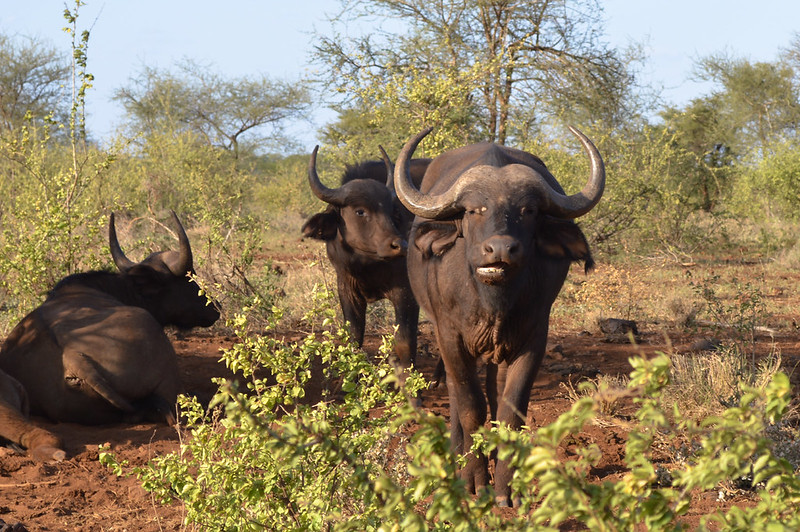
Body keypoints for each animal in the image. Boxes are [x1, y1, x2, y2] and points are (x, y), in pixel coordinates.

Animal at [301, 149, 430, 372]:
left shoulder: (406, 292)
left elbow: (405, 342)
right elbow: (353, 338)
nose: (400, 245)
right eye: (360, 211)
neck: (368, 265)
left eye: (391, 211)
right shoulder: (347, 289)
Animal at [394, 127, 604, 505]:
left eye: (528, 209)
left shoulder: (533, 339)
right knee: (458, 397)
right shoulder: (450, 338)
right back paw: (458, 450)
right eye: (474, 210)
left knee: (494, 390)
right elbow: (469, 406)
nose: (501, 249)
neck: (493, 304)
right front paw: (474, 480)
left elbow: (510, 409)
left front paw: (507, 486)